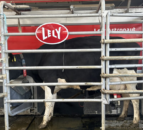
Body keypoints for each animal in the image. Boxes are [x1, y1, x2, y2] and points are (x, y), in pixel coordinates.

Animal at [8, 36, 140, 128]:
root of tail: (134, 44)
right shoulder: (52, 85)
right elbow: (52, 102)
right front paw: (49, 118)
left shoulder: (49, 81)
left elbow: (47, 102)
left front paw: (43, 123)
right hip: (121, 81)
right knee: (127, 97)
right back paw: (122, 116)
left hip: (129, 77)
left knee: (135, 97)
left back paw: (135, 121)